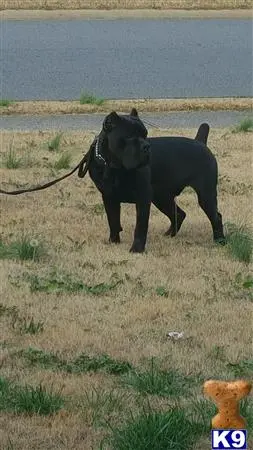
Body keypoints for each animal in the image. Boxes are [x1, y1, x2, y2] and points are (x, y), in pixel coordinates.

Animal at [80, 107, 224, 251]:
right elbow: (113, 220)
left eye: (145, 135)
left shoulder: (143, 197)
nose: (146, 146)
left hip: (205, 195)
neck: (114, 167)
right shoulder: (109, 197)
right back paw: (169, 234)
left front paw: (137, 249)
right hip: (162, 197)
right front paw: (113, 242)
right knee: (179, 214)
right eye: (130, 137)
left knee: (216, 217)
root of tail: (200, 142)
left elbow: (140, 226)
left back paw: (220, 240)